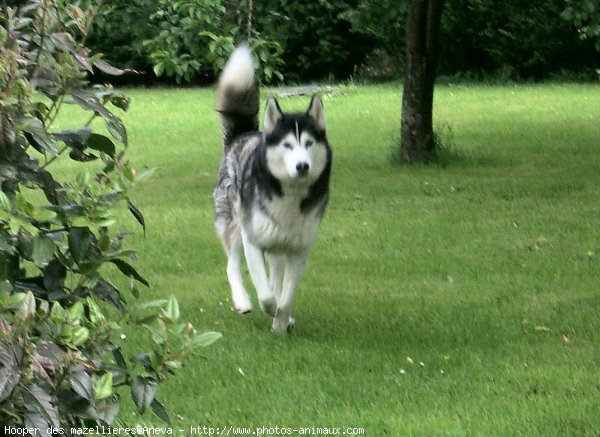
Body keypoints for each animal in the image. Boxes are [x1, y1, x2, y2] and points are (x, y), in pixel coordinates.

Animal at [212, 46, 332, 332]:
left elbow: (285, 298)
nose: (302, 166)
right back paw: (243, 301)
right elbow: (266, 295)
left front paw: (281, 323)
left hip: (278, 247)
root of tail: (243, 135)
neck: (290, 195)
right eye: (287, 145)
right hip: (235, 225)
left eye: (309, 143)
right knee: (233, 266)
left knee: (275, 274)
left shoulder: (299, 251)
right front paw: (270, 310)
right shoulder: (253, 241)